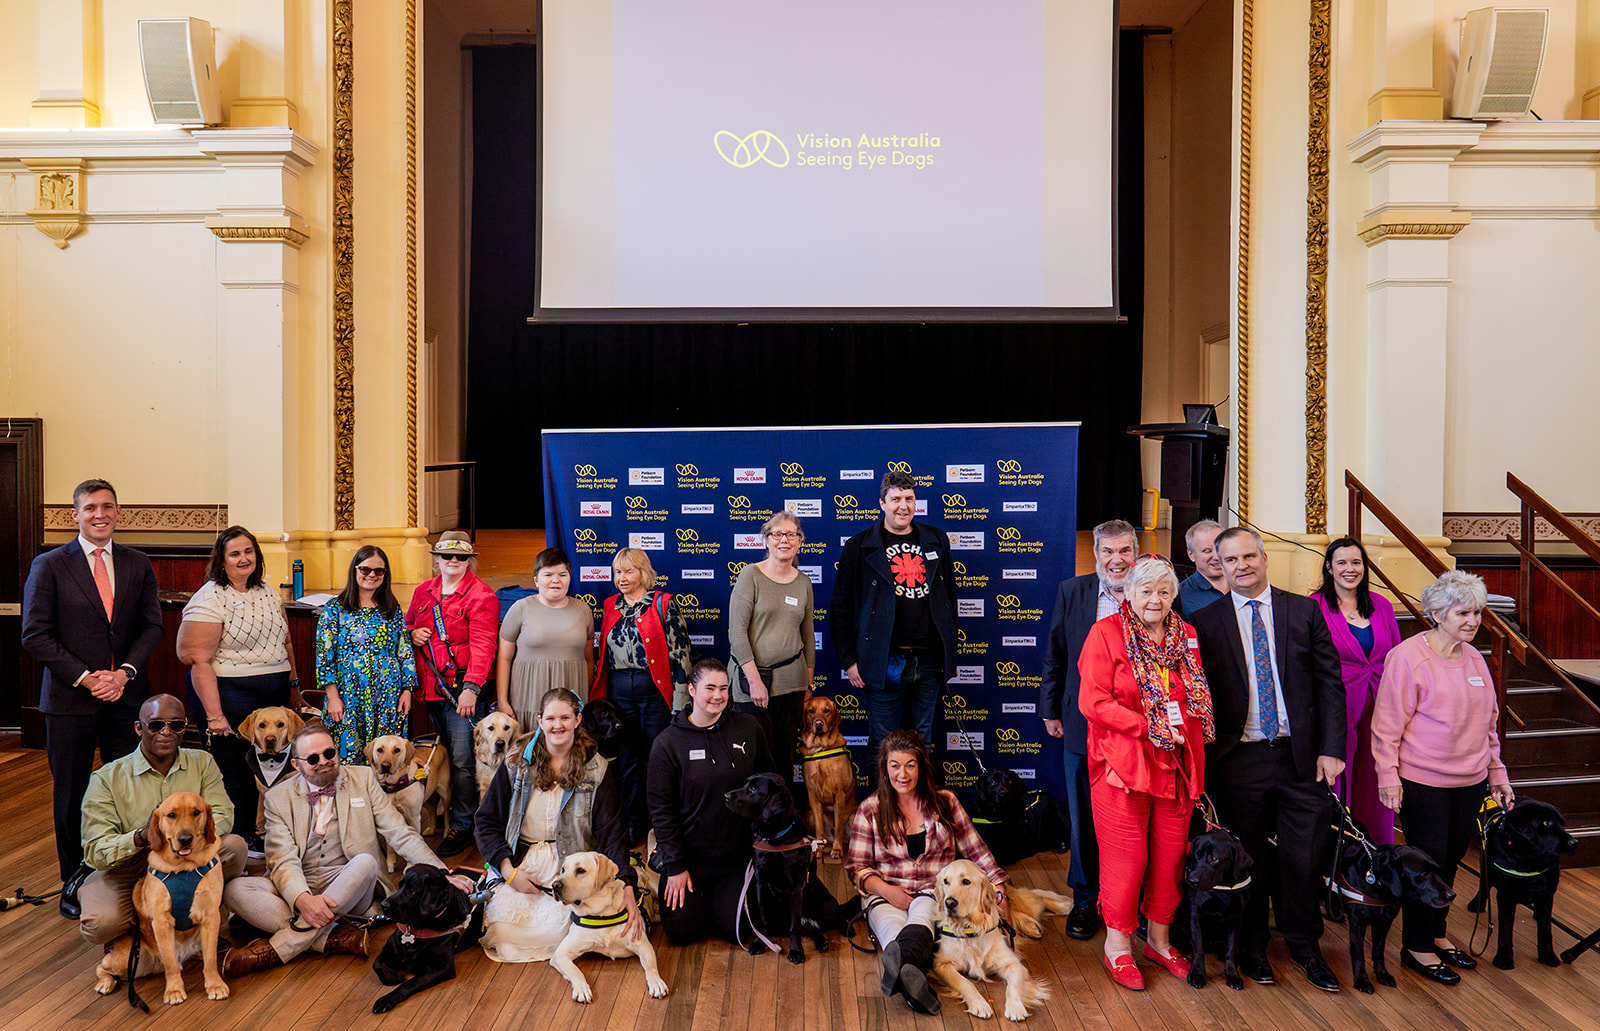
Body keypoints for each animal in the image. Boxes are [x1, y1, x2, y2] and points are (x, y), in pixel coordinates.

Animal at [547, 851, 665, 1005]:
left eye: (580, 870)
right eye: (563, 870)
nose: (554, 885)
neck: (600, 913)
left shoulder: (643, 945)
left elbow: (651, 967)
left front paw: (656, 983)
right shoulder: (560, 953)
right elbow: (575, 971)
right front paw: (581, 988)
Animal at [928, 858, 1049, 1018]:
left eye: (966, 881)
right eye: (946, 881)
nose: (949, 903)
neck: (970, 927)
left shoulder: (1013, 963)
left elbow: (1013, 987)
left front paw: (1016, 1007)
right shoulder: (941, 964)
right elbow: (966, 983)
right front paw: (979, 1004)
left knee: (1039, 898)